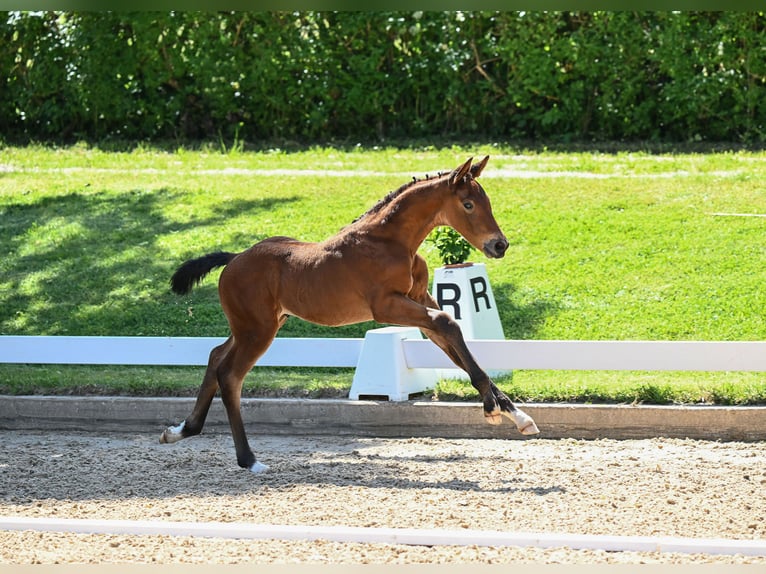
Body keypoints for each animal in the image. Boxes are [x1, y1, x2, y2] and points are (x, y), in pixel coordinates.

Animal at [160, 156, 539, 473]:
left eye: (486, 202)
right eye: (468, 204)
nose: (499, 245)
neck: (391, 242)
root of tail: (235, 258)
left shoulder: (419, 299)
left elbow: (451, 337)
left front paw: (517, 415)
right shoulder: (387, 306)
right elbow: (448, 324)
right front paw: (492, 408)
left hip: (256, 325)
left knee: (214, 357)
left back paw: (181, 430)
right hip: (258, 331)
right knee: (230, 375)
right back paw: (249, 460)